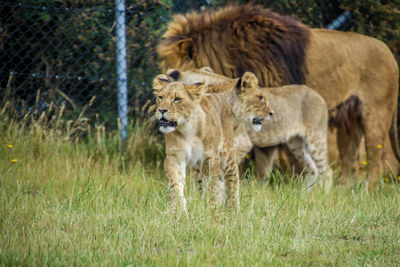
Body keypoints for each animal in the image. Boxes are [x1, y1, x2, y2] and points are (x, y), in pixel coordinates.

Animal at [157, 4, 400, 188]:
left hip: (375, 115)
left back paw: (365, 191)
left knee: (374, 159)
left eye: (171, 72)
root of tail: (389, 52)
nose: (161, 84)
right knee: (349, 159)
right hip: (348, 121)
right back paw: (342, 189)